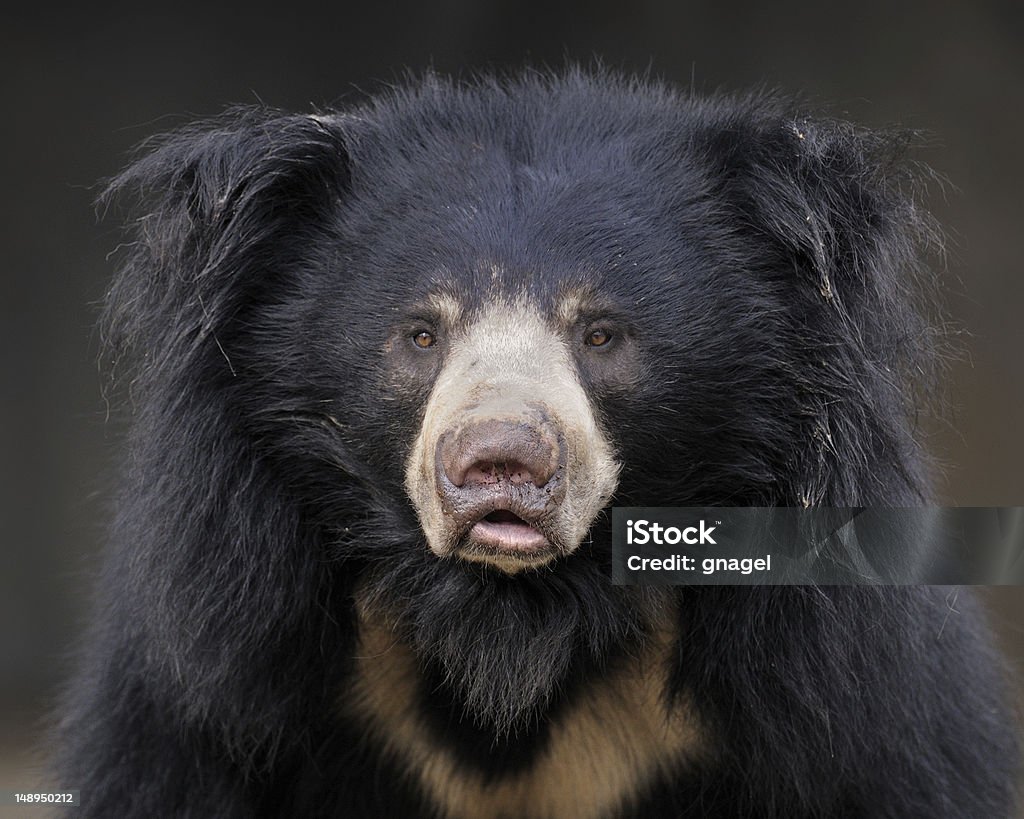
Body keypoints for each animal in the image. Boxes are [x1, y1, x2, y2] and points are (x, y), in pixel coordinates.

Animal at [61, 72, 1015, 818]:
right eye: (420, 334)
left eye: (601, 334)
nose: (499, 460)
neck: (516, 627)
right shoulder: (215, 691)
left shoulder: (846, 705)